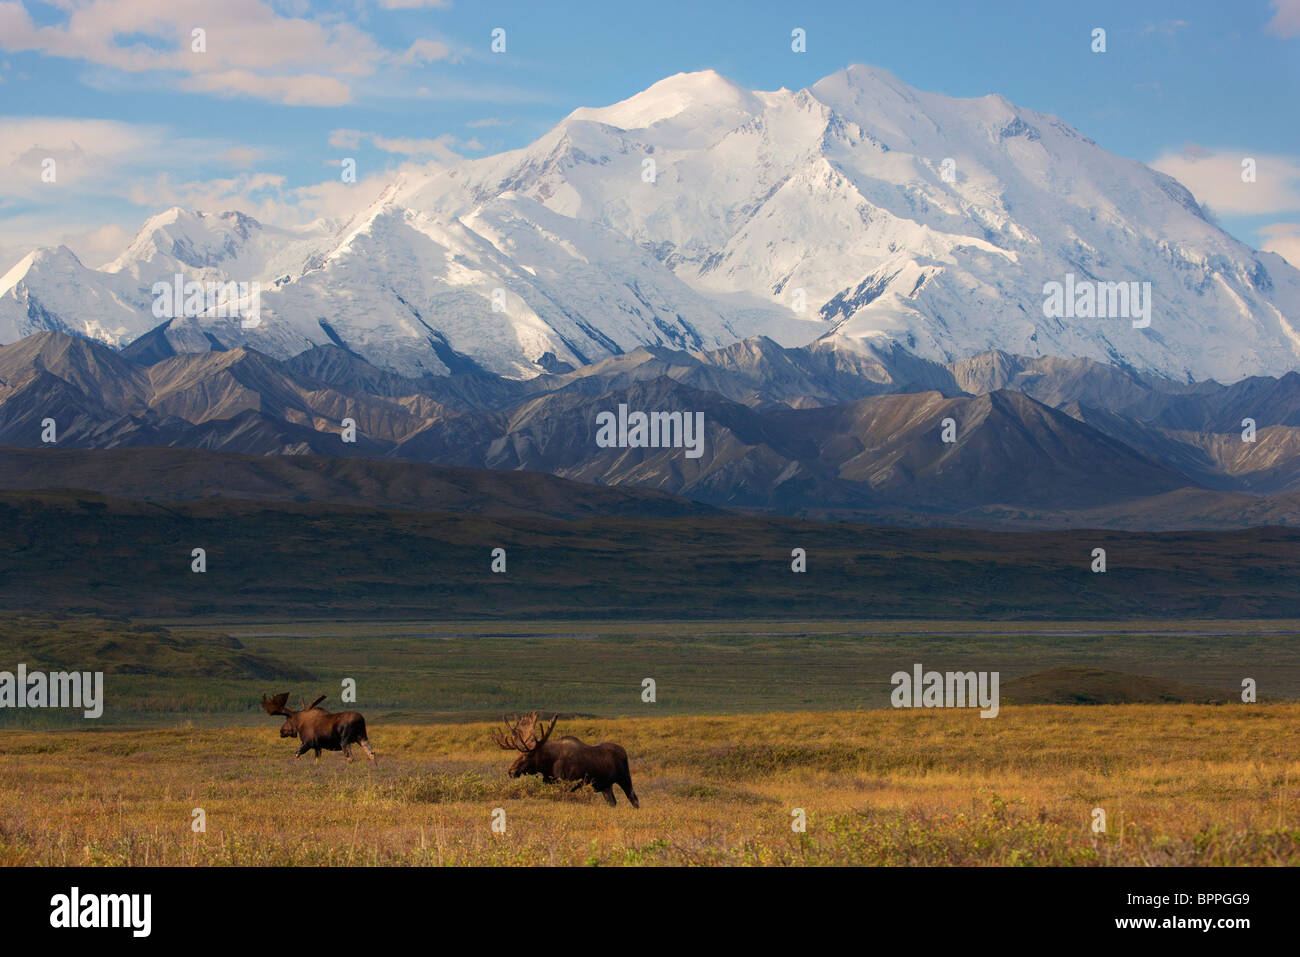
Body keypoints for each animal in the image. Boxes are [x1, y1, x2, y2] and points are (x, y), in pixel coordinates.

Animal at [488, 712, 637, 806]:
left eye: (528, 754)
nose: (511, 771)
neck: (548, 764)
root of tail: (624, 751)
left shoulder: (567, 783)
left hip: (624, 778)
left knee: (634, 799)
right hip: (606, 786)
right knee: (613, 802)